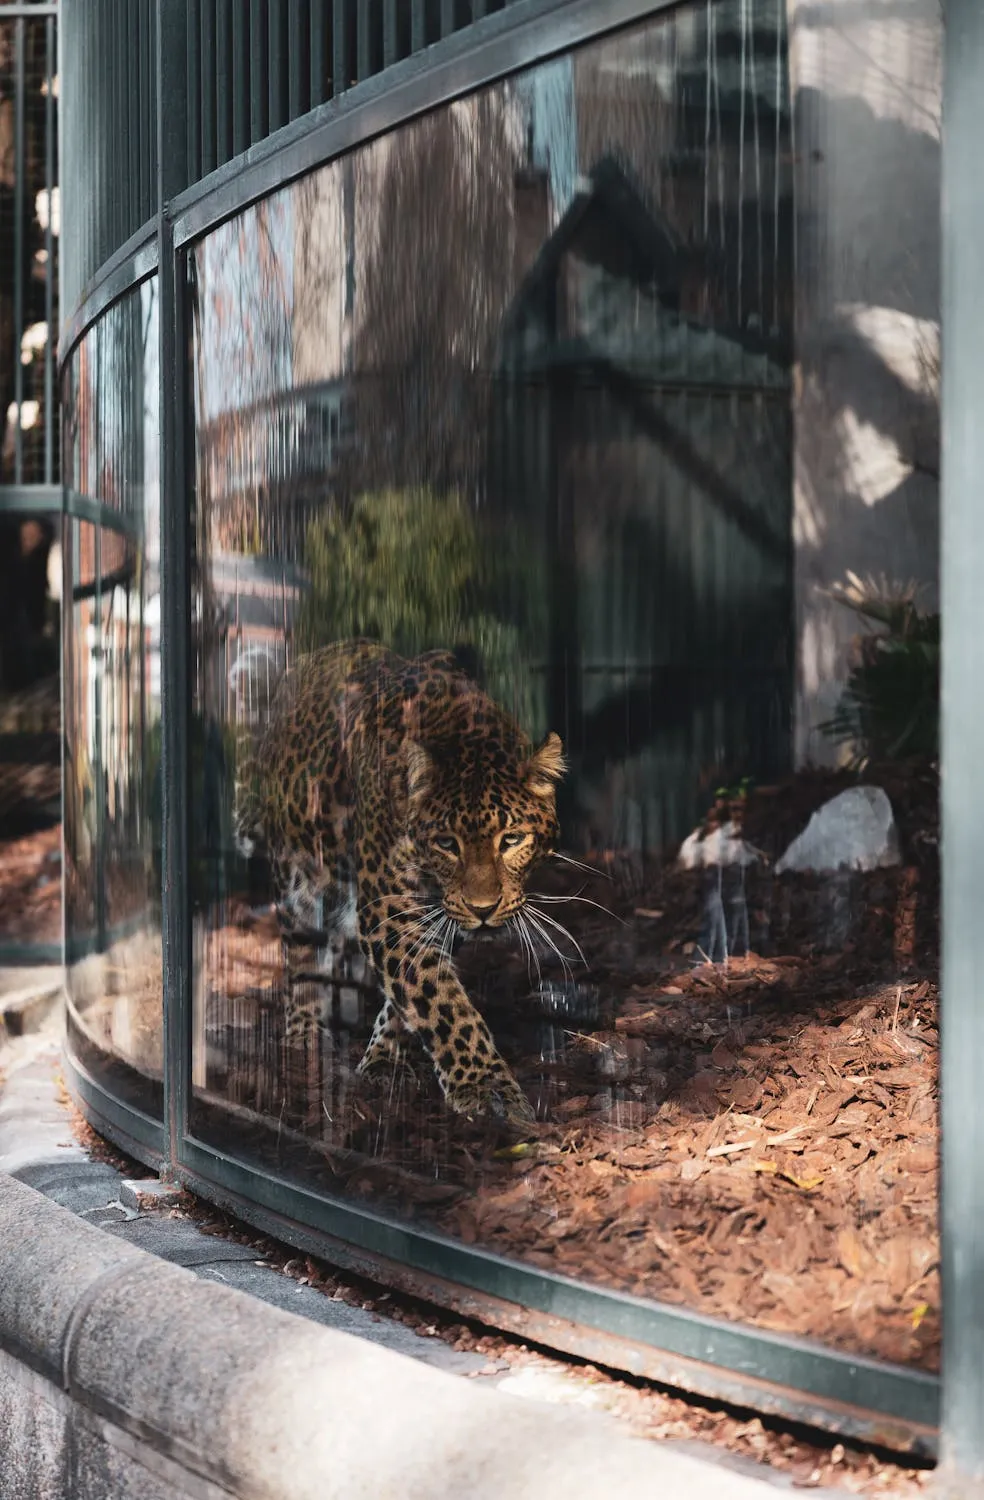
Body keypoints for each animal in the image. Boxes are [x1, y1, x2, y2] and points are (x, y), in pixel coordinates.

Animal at [234, 638, 567, 1127]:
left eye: (512, 840)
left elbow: (416, 992)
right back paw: (304, 1036)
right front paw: (487, 1087)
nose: (484, 909)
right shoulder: (388, 911)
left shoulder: (436, 915)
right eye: (447, 843)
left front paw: (385, 1058)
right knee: (302, 957)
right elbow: (442, 1001)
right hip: (296, 870)